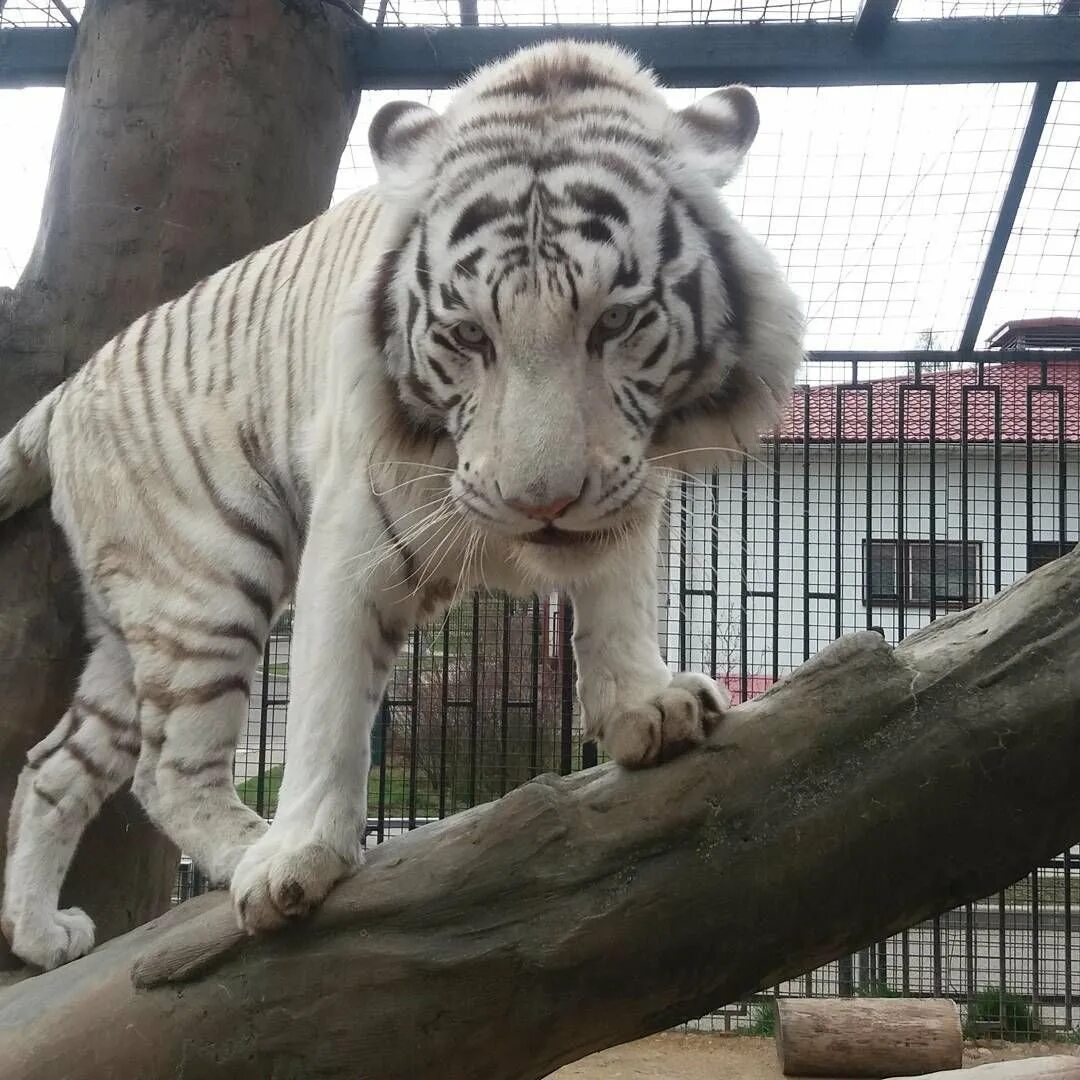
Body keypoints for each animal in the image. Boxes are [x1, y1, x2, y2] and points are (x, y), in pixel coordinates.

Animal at [0, 42, 803, 972]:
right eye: (469, 336)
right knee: (164, 769)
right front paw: (296, 859)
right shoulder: (350, 533)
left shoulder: (635, 479)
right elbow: (325, 703)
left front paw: (647, 705)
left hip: (135, 629)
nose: (543, 501)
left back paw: (38, 935)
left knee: (53, 766)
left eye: (616, 322)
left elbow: (617, 597)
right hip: (207, 580)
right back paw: (245, 854)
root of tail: (64, 394)